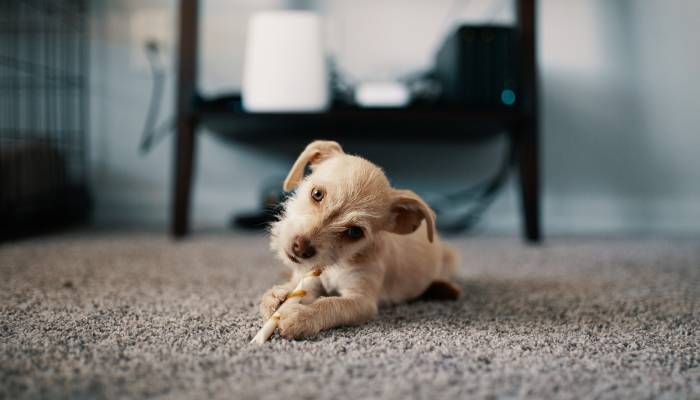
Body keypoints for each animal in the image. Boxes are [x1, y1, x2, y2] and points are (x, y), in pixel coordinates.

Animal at [262, 139, 460, 340]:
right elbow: (296, 288)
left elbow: (330, 304)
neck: (337, 263)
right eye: (317, 194)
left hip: (450, 258)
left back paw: (444, 288)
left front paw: (301, 315)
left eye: (354, 232)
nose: (300, 248)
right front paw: (277, 296)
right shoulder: (310, 279)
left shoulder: (361, 301)